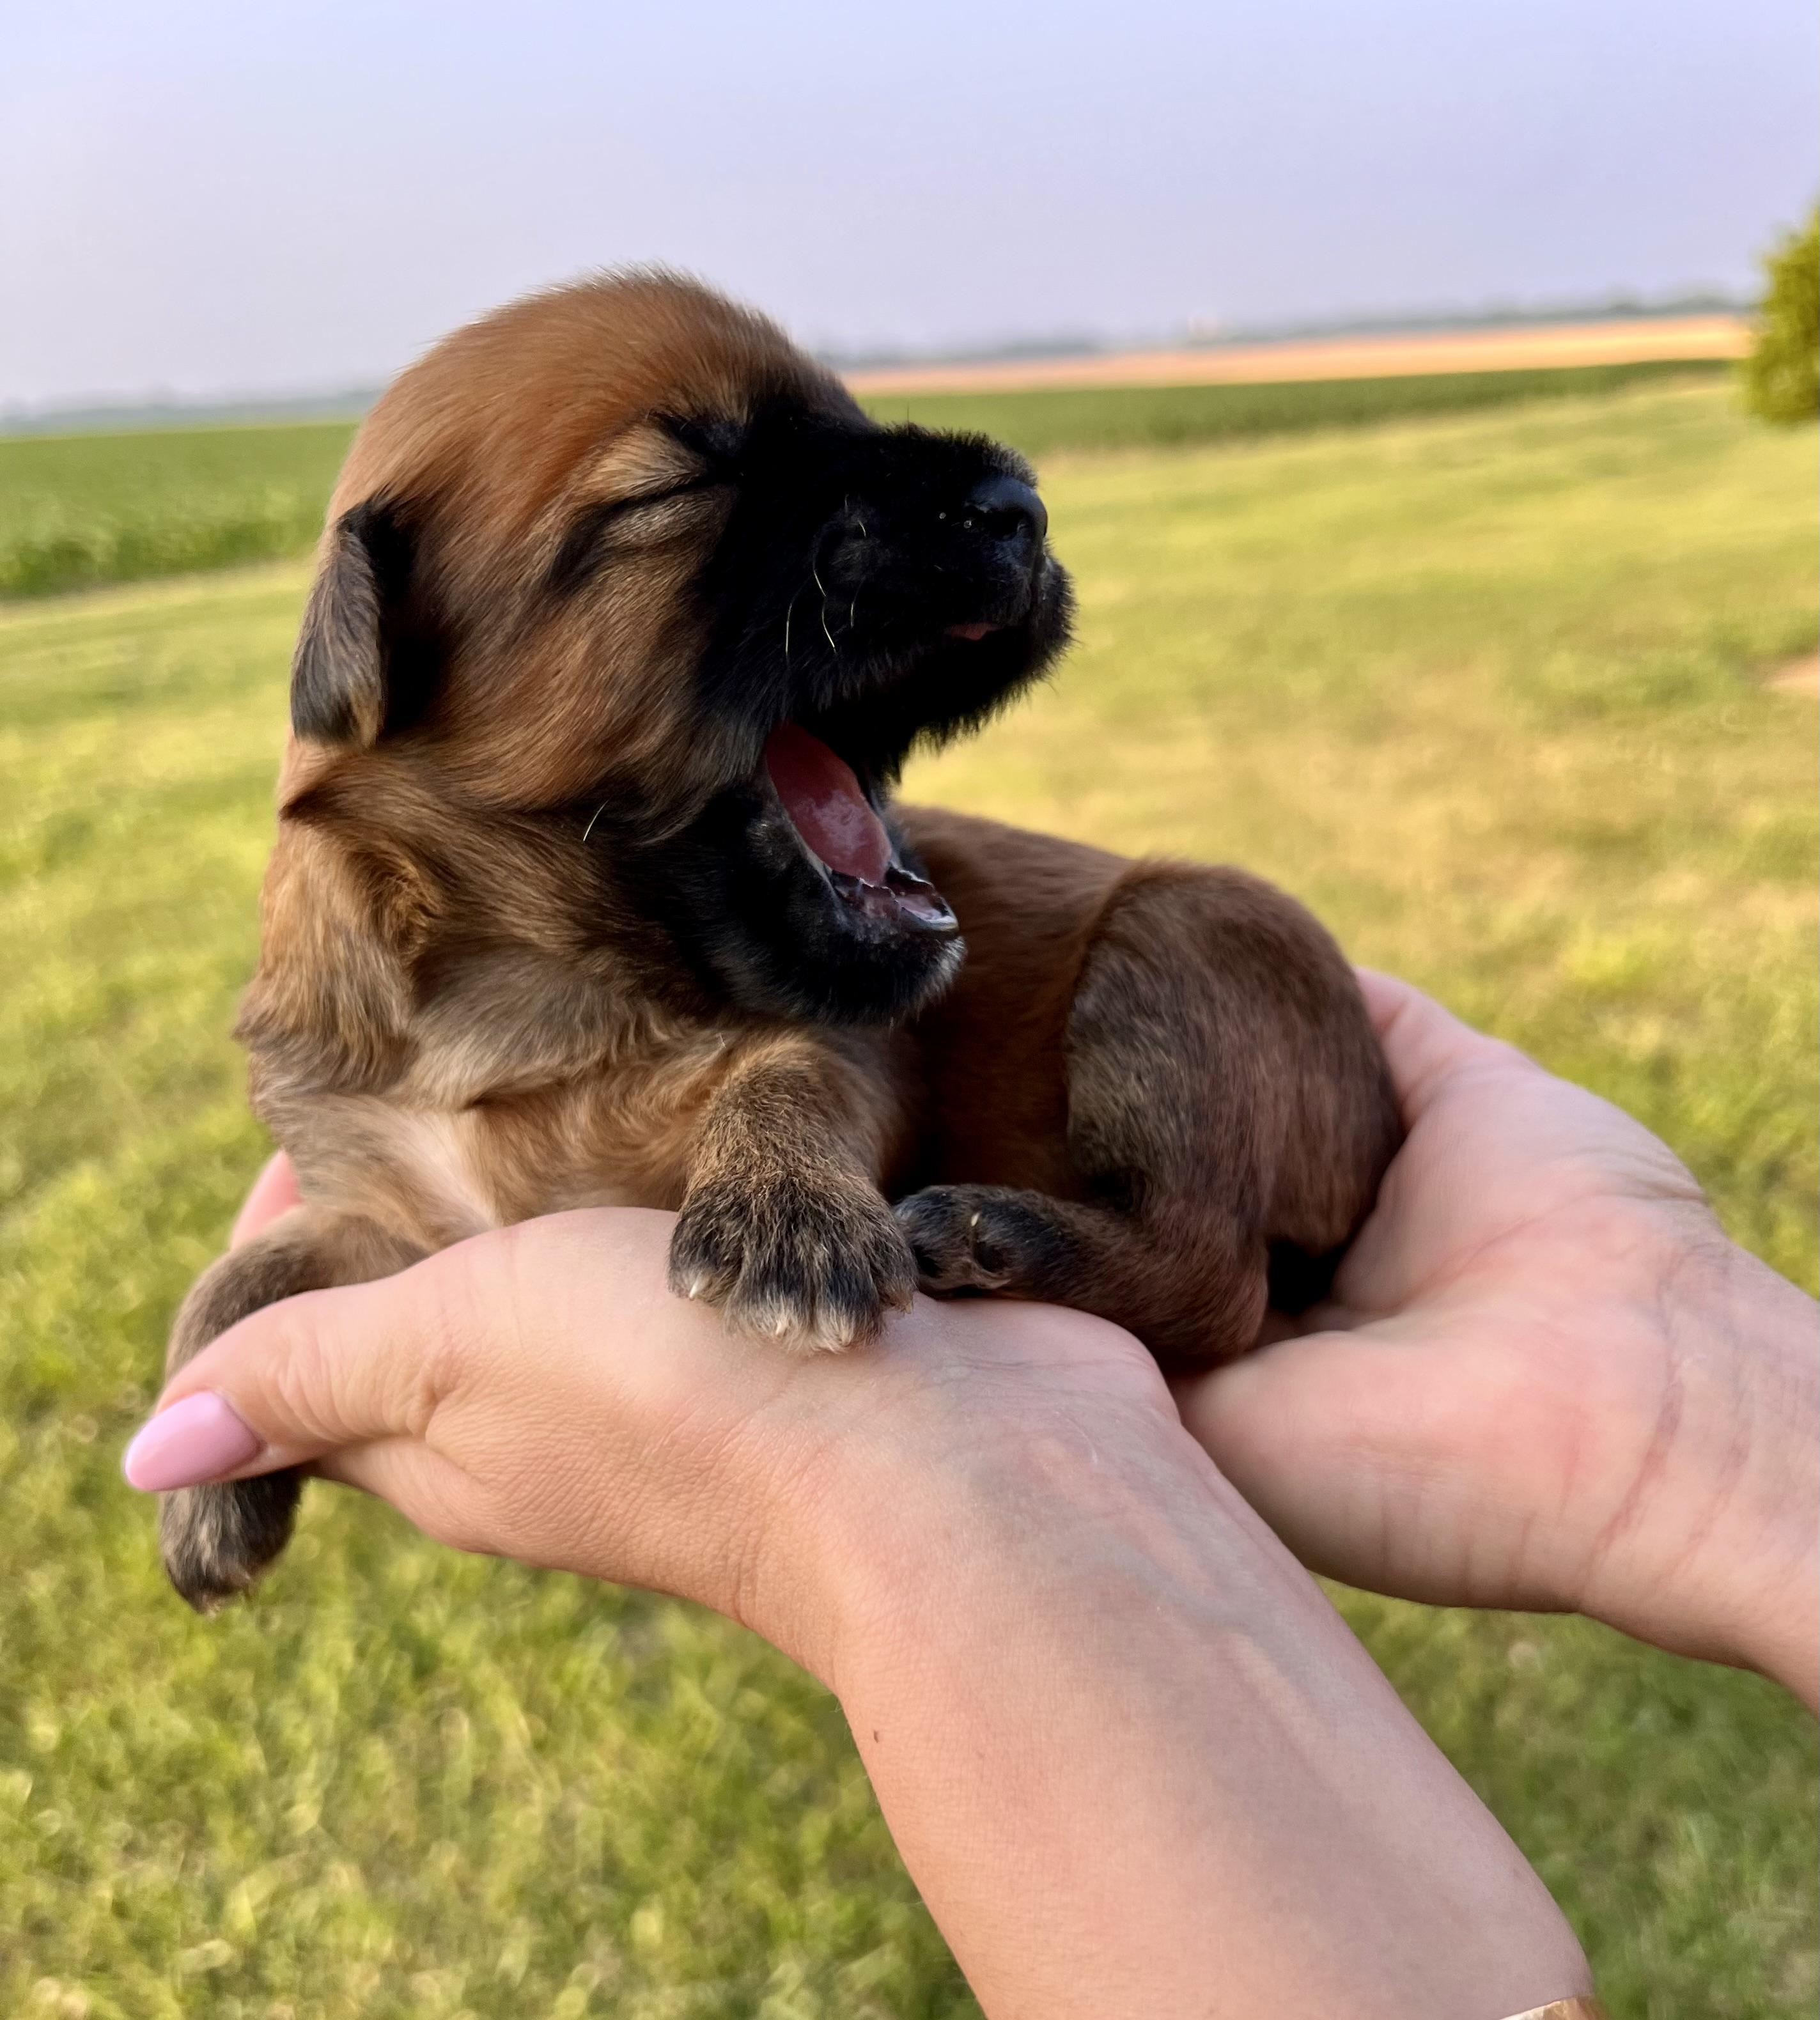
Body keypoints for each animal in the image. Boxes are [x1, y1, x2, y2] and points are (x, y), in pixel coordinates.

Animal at [158, 271, 1401, 1611]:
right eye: (677, 488)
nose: (1018, 508)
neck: (519, 994)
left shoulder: (857, 1048)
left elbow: (789, 1073)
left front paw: (785, 1222)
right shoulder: (384, 1200)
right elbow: (244, 1271)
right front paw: (194, 1471)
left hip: (1179, 941)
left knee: (1217, 1276)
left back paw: (994, 1237)